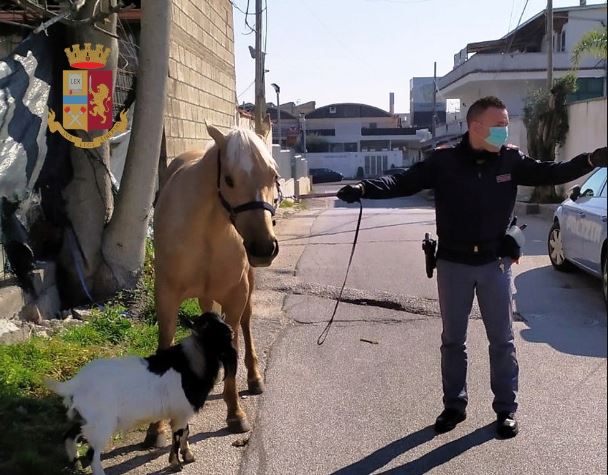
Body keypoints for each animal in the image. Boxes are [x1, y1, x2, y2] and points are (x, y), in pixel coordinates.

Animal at [44, 312, 235, 475]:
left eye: (221, 318)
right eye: (205, 325)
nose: (231, 331)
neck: (189, 364)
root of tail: (74, 384)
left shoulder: (181, 411)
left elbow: (185, 432)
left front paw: (188, 456)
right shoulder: (181, 412)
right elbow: (177, 436)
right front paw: (176, 463)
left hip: (86, 418)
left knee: (69, 435)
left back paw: (74, 463)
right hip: (101, 423)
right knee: (91, 453)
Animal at [146, 123, 282, 446]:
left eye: (274, 176)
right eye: (229, 179)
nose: (263, 248)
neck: (208, 227)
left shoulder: (236, 294)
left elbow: (234, 338)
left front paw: (235, 414)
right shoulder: (166, 294)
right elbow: (165, 341)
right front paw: (156, 428)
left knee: (245, 324)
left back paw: (254, 378)